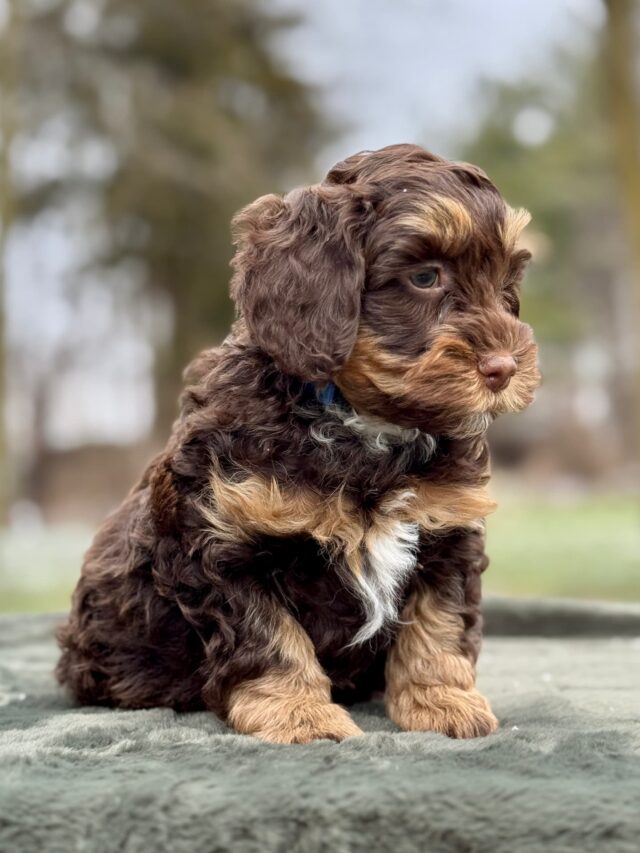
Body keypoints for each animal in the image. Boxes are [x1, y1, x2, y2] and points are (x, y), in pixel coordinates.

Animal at [56, 145, 540, 740]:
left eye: (506, 281)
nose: (505, 368)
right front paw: (299, 714)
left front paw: (442, 702)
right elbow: (267, 632)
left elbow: (439, 621)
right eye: (425, 276)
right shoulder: (218, 538)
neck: (366, 424)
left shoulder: (446, 528)